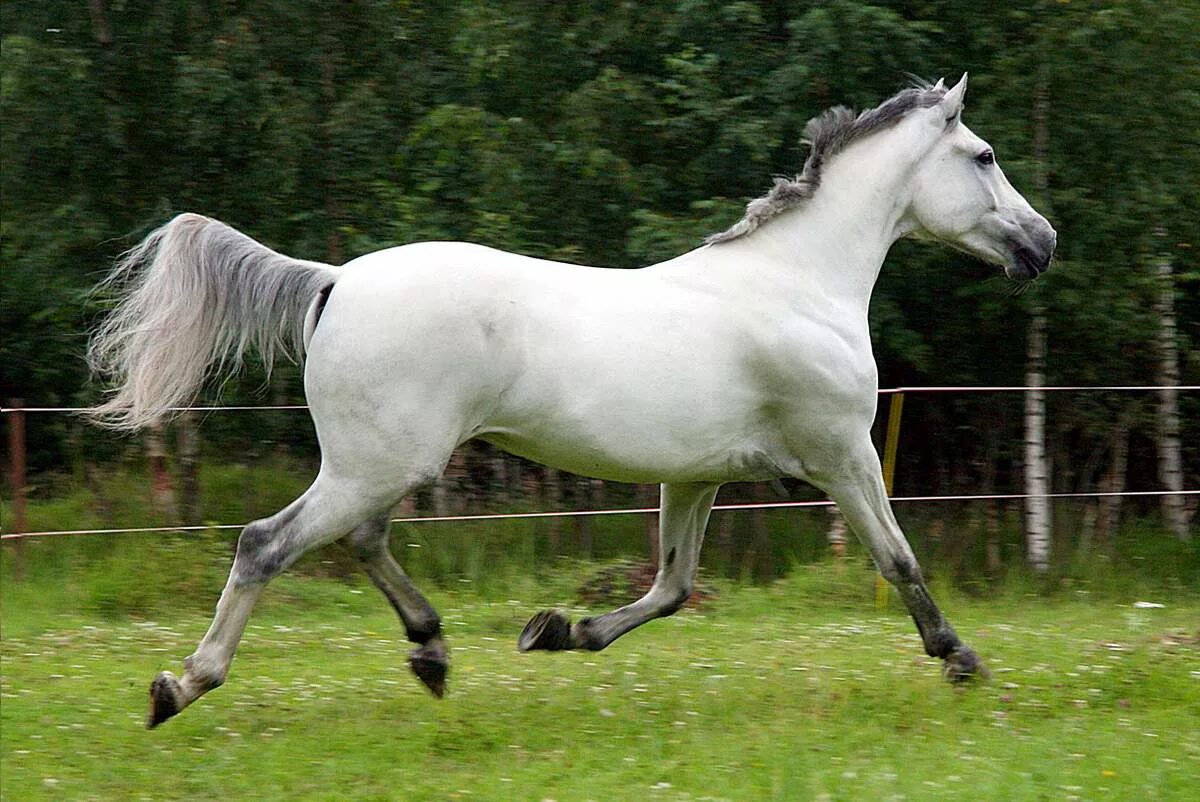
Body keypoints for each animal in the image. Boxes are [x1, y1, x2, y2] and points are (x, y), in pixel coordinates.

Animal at [88, 76, 1056, 725]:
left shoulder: (696, 477)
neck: (798, 285)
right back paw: (181, 685)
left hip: (383, 462)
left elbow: (672, 587)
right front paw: (961, 661)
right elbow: (900, 562)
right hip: (376, 464)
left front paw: (556, 632)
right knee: (266, 545)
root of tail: (337, 279)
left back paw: (432, 652)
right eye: (984, 156)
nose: (1042, 243)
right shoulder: (843, 456)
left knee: (361, 543)